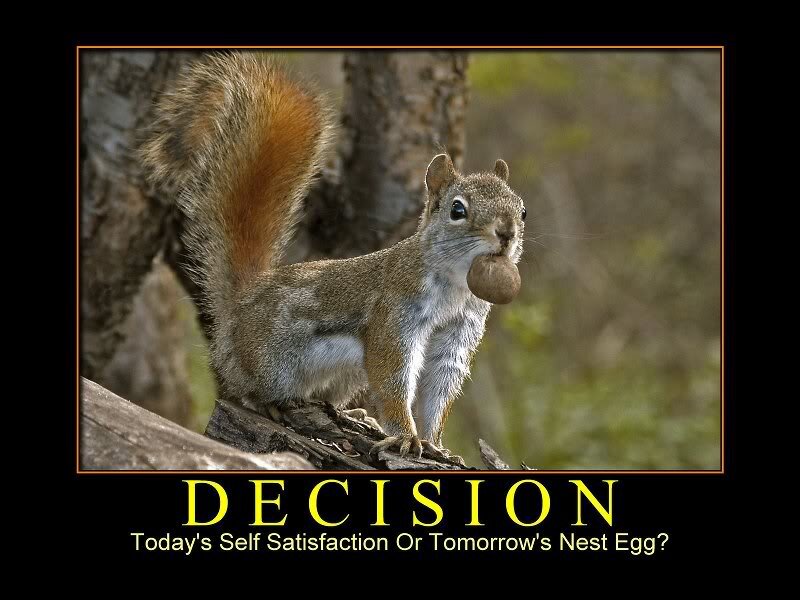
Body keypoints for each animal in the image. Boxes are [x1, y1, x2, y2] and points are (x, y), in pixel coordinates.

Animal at [141, 52, 526, 461]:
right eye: (457, 209)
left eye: (522, 210)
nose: (506, 234)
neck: (456, 285)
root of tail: (239, 309)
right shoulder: (393, 314)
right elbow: (392, 378)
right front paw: (406, 438)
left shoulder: (456, 336)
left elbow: (438, 393)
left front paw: (437, 446)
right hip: (268, 362)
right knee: (240, 387)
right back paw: (266, 402)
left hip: (345, 375)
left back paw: (356, 414)